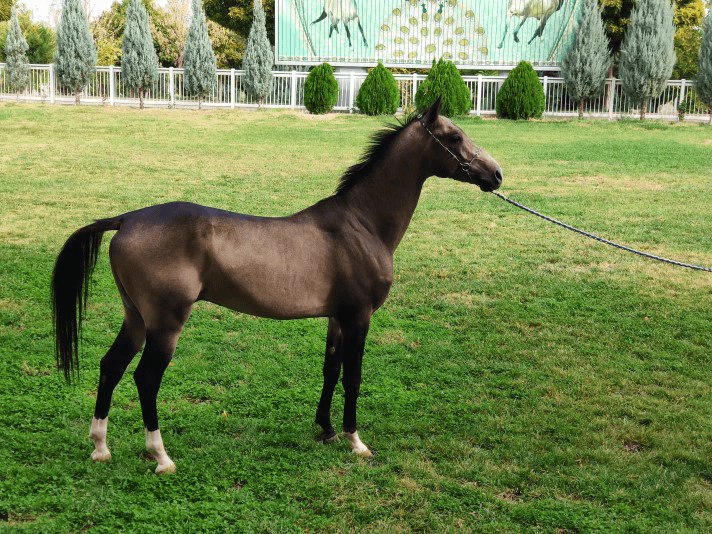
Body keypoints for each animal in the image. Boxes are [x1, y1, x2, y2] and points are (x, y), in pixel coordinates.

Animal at [51, 97, 502, 474]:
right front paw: (356, 441)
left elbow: (330, 370)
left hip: (136, 319)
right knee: (145, 378)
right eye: (455, 137)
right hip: (164, 325)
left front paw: (326, 430)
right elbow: (353, 377)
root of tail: (127, 219)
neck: (361, 223)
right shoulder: (359, 317)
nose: (496, 174)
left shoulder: (337, 318)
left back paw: (100, 448)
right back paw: (160, 456)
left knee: (110, 366)